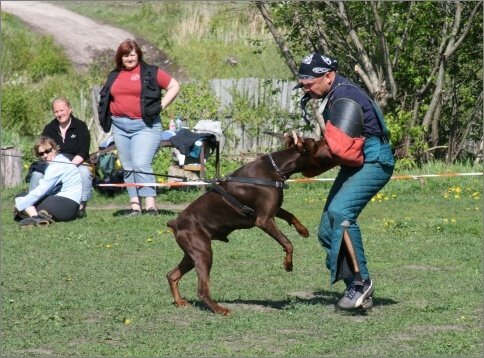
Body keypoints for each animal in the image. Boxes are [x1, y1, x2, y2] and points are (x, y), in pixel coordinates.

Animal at [166, 131, 336, 316]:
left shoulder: (272, 209)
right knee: (202, 290)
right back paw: (220, 309)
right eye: (315, 142)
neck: (277, 169)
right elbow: (287, 243)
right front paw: (288, 264)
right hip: (203, 252)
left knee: (171, 275)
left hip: (192, 253)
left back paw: (179, 301)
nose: (326, 139)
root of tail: (176, 223)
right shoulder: (264, 220)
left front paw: (302, 230)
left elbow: (290, 215)